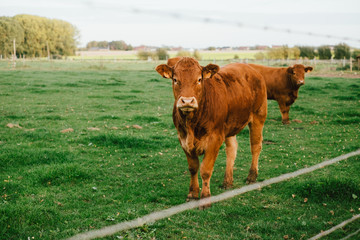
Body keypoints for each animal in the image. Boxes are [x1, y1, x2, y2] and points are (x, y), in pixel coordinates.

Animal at [155, 57, 268, 207]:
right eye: (175, 79)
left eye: (199, 79)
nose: (187, 101)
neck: (192, 124)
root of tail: (251, 69)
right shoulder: (183, 138)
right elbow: (193, 168)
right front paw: (192, 194)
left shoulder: (215, 138)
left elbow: (206, 170)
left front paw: (205, 198)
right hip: (229, 127)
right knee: (232, 149)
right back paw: (227, 181)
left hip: (258, 117)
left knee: (255, 146)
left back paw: (251, 176)